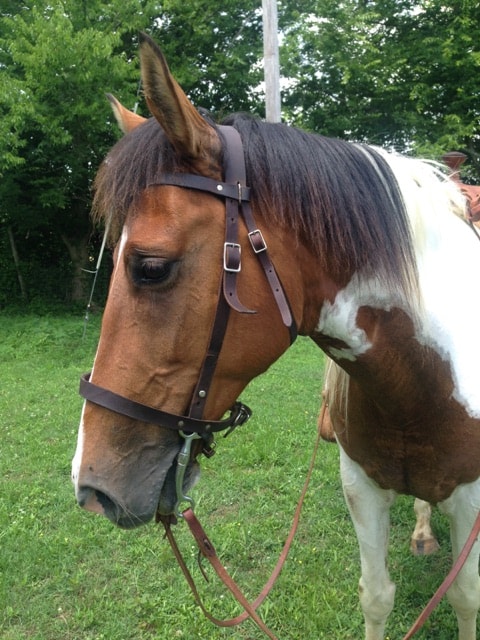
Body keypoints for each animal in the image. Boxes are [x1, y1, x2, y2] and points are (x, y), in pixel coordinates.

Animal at [72, 33, 480, 640]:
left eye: (150, 267)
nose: (91, 487)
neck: (423, 382)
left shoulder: (473, 502)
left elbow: (465, 599)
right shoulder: (361, 486)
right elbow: (377, 596)